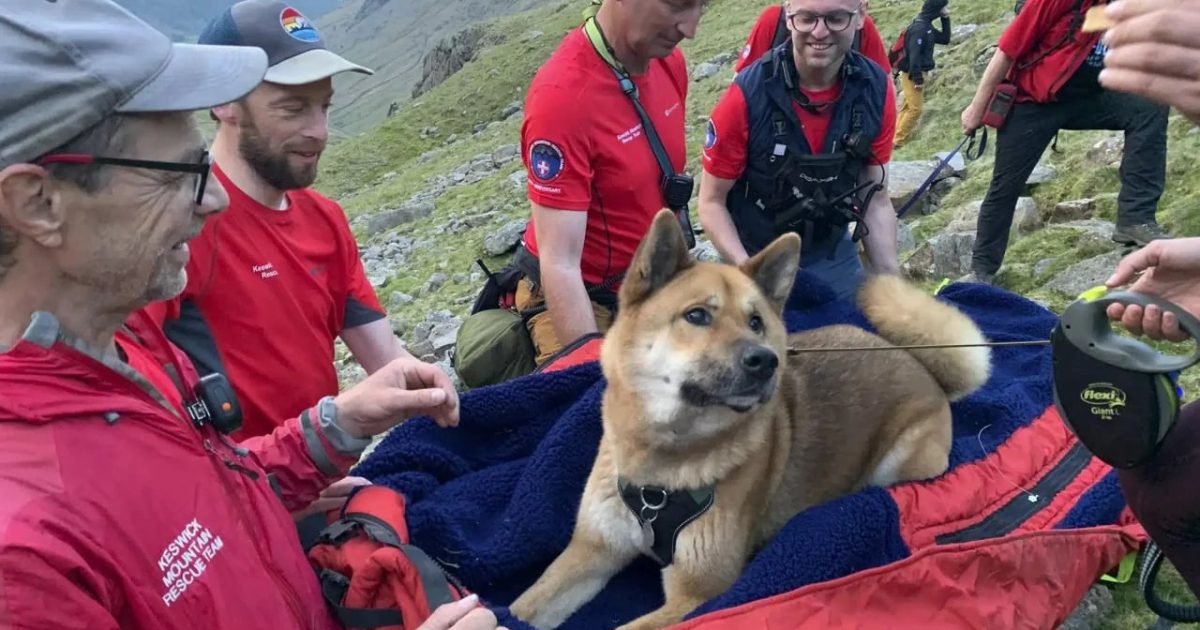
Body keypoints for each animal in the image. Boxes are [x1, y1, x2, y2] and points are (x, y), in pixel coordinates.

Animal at [511, 208, 988, 624]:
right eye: (697, 315)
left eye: (756, 322)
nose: (765, 361)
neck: (661, 471)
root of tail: (919, 363)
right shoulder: (592, 551)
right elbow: (524, 606)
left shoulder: (697, 594)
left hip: (903, 462)